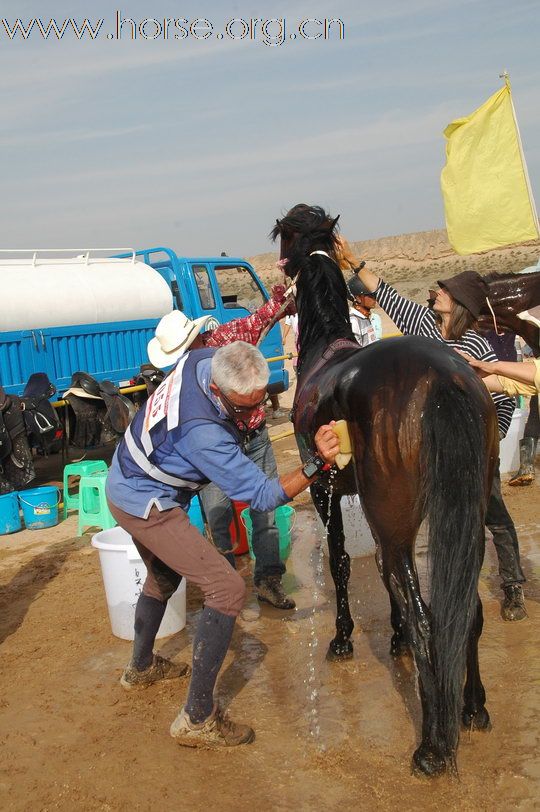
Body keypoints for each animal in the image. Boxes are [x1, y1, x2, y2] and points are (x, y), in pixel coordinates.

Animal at [272, 206, 500, 776]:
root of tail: (443, 379)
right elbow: (378, 572)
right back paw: (472, 708)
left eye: (283, 240)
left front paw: (343, 637)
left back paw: (433, 747)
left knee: (427, 615)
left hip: (396, 520)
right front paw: (392, 638)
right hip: (464, 516)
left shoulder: (326, 493)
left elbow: (342, 563)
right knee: (464, 609)